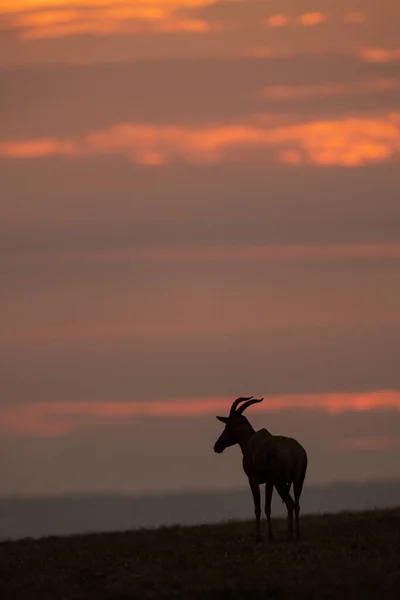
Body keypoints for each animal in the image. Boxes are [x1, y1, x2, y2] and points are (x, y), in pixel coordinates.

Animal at [214, 396, 308, 540]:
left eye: (228, 425)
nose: (217, 446)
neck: (251, 441)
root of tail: (295, 451)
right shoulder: (270, 482)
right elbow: (269, 507)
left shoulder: (253, 480)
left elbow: (258, 508)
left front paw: (260, 538)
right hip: (298, 481)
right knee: (295, 504)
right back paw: (295, 536)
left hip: (278, 482)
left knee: (288, 504)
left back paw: (286, 536)